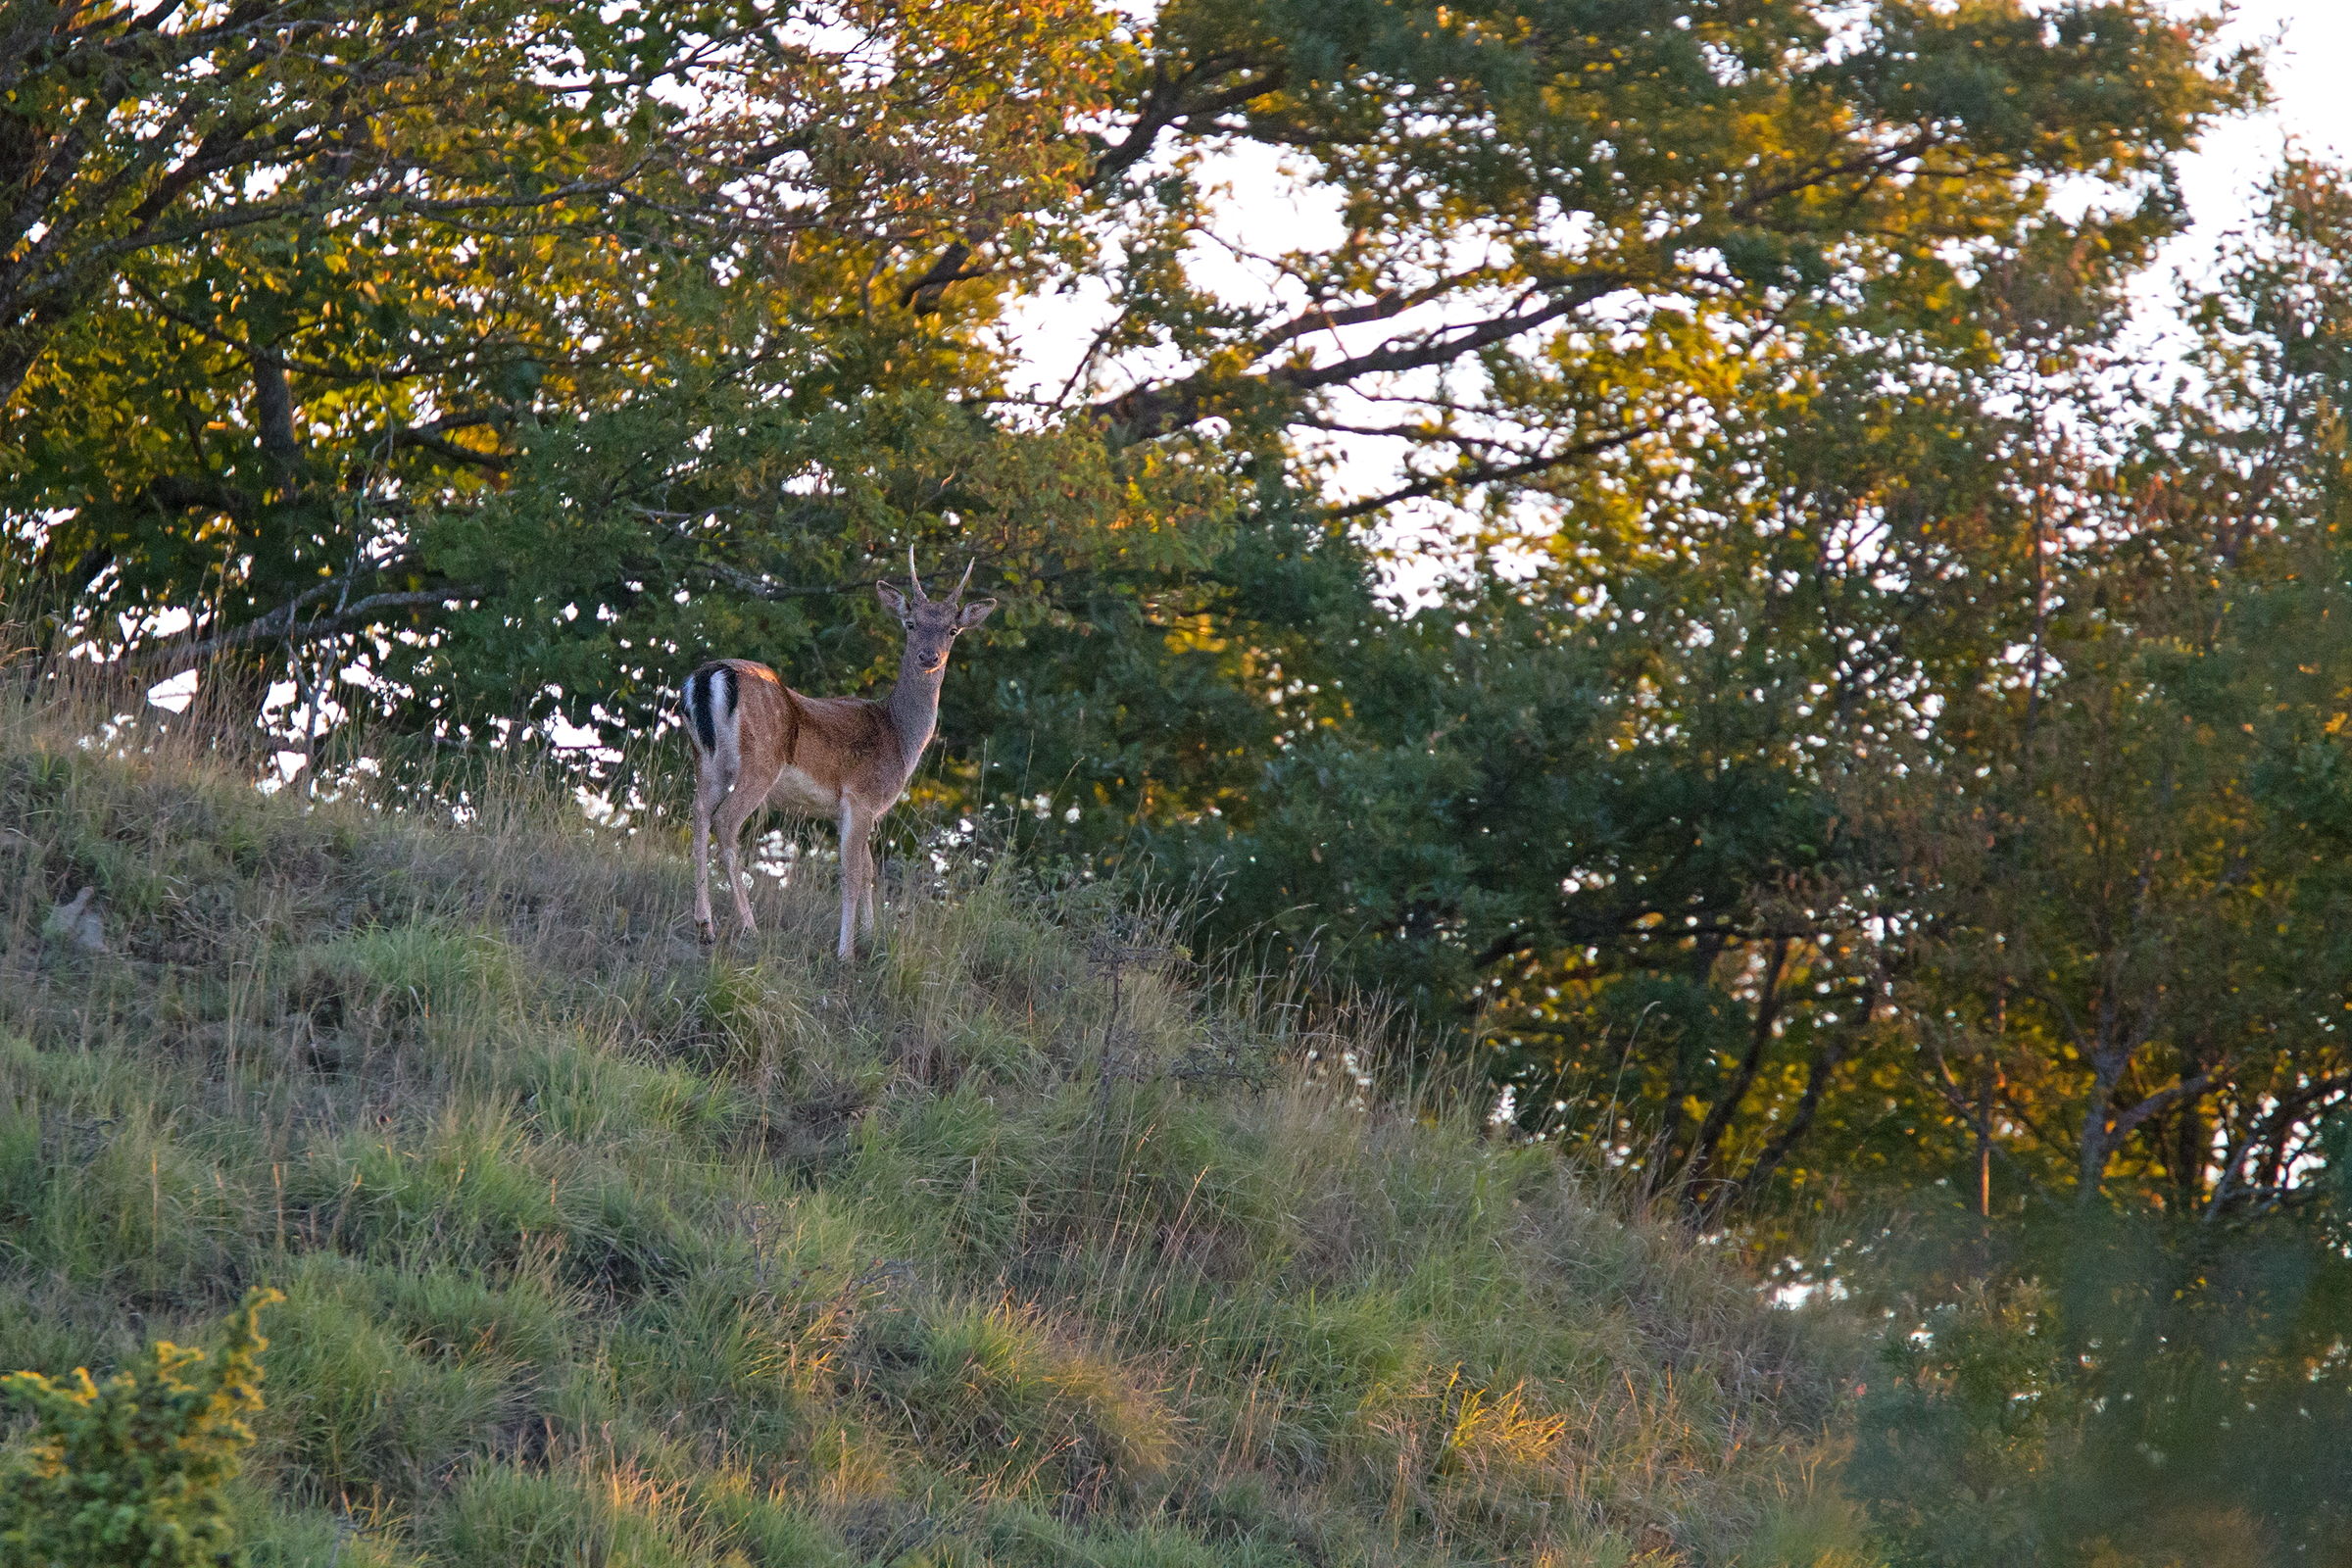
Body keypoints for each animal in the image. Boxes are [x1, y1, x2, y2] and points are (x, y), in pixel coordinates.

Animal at [681, 550, 995, 957]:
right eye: (910, 623)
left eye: (952, 630)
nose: (930, 656)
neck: (900, 736)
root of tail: (708, 676)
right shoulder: (862, 796)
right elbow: (852, 873)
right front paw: (846, 951)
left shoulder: (856, 810)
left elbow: (869, 870)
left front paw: (870, 938)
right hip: (760, 763)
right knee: (726, 822)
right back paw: (749, 927)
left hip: (704, 759)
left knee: (699, 813)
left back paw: (704, 924)